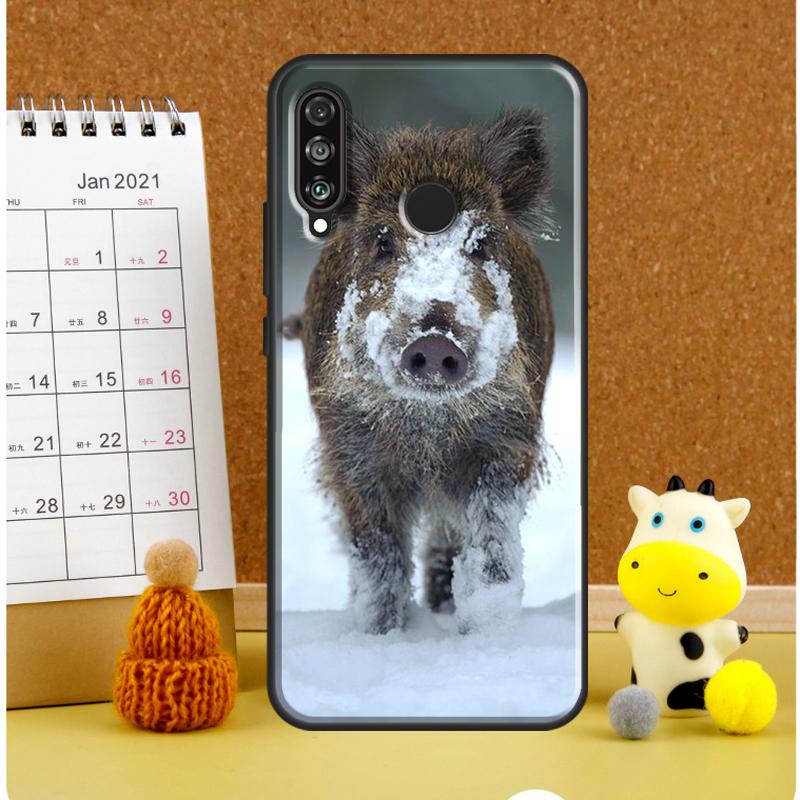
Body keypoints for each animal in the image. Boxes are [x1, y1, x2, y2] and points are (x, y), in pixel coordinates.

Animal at [292, 109, 555, 634]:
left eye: (480, 245)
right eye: (383, 243)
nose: (434, 342)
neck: (429, 430)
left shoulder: (510, 436)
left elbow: (492, 541)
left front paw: (486, 630)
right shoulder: (351, 452)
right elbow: (378, 555)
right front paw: (381, 635)